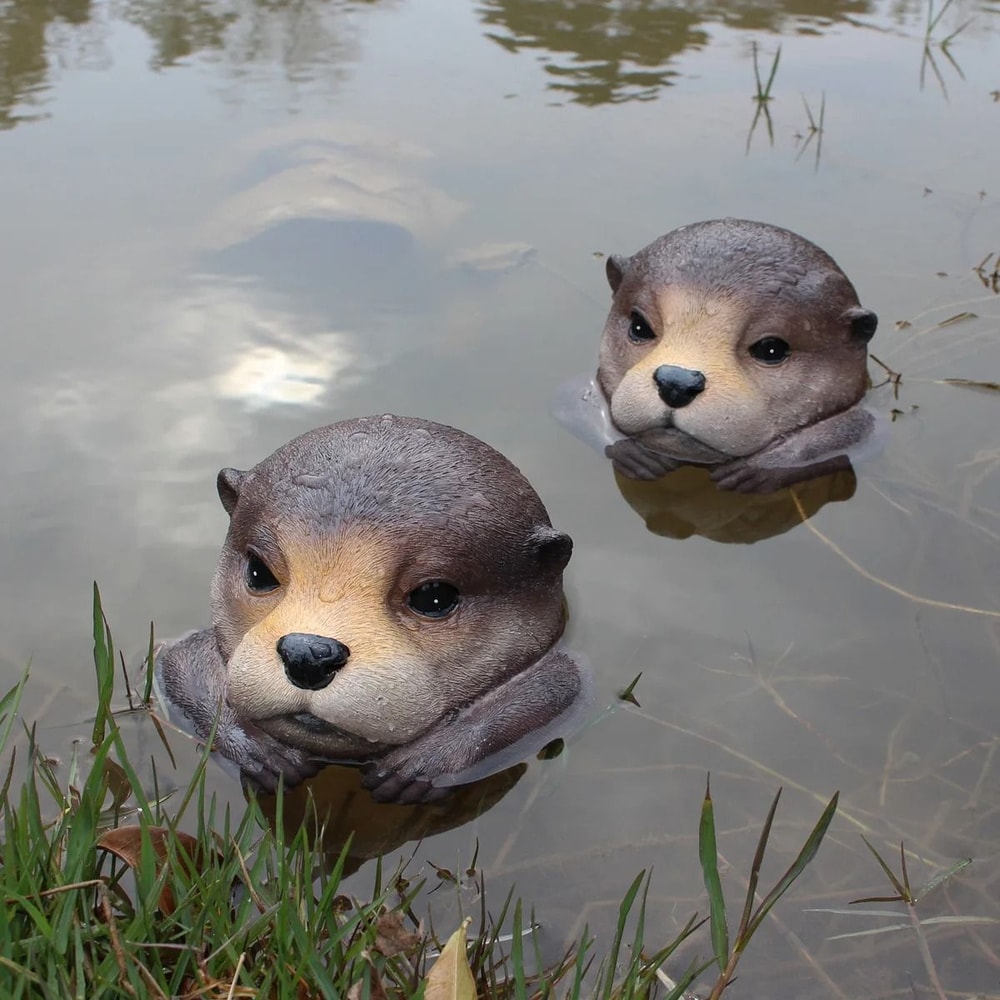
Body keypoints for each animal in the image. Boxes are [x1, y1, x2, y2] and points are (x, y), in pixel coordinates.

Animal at [155, 415, 586, 805]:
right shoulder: (184, 655)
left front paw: (427, 761)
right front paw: (261, 749)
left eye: (434, 596)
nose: (308, 652)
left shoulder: (564, 671)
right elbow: (178, 662)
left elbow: (559, 685)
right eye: (259, 571)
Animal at [564, 219, 881, 493]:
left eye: (771, 349)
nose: (676, 382)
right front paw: (632, 451)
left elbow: (861, 432)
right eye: (639, 326)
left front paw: (761, 467)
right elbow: (570, 401)